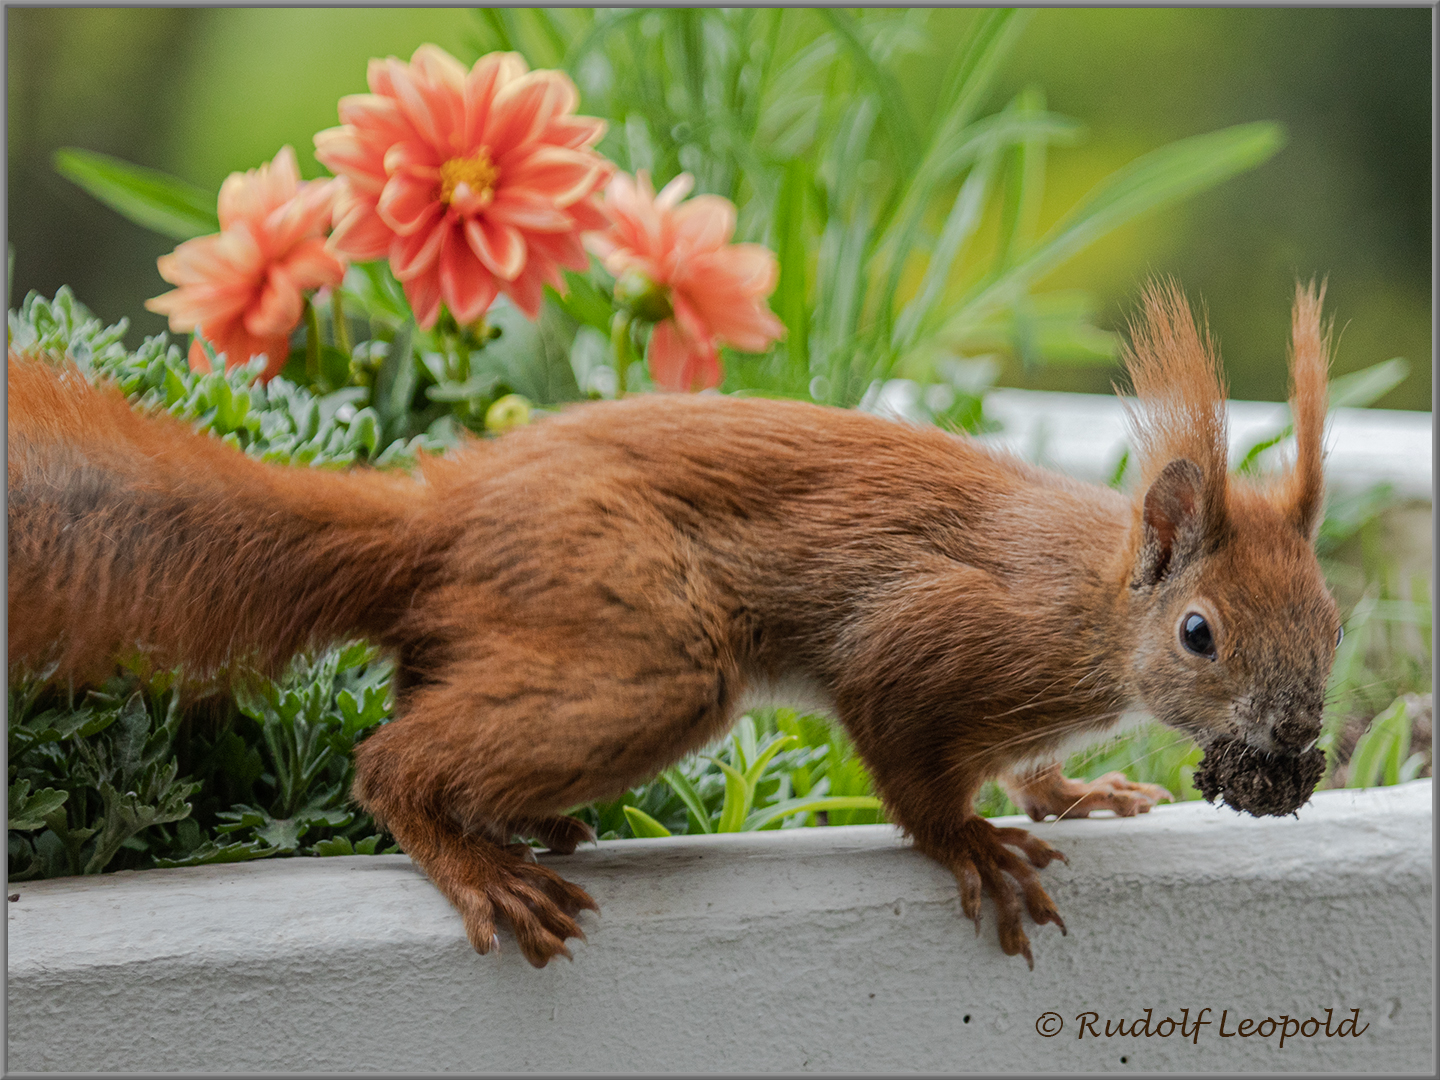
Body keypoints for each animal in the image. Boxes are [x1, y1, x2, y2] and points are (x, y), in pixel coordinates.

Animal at [8, 280, 1336, 973]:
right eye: (1201, 634)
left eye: (1331, 617)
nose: (1297, 739)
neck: (1088, 606)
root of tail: (444, 514)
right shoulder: (932, 638)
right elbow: (909, 764)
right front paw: (975, 845)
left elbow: (1035, 769)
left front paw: (1079, 793)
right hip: (645, 652)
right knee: (389, 760)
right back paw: (477, 862)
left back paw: (528, 822)